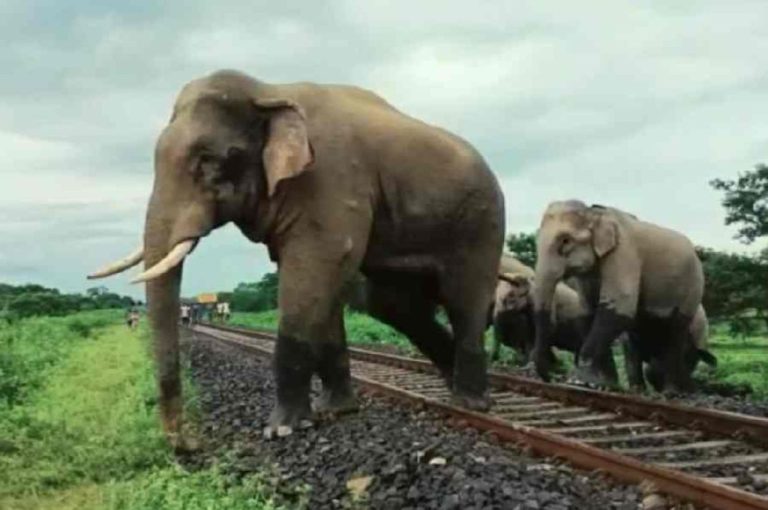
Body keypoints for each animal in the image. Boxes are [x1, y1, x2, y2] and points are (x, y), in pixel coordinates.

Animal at [87, 69, 505, 447]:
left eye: (209, 159)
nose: (188, 445)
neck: (267, 91)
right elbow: (324, 287)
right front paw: (335, 411)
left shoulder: (331, 178)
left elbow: (313, 271)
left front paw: (282, 430)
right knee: (394, 305)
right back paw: (452, 384)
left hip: (481, 221)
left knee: (462, 299)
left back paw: (470, 404)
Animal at [532, 200, 704, 392]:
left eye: (565, 240)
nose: (549, 378)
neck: (594, 214)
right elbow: (588, 312)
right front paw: (604, 384)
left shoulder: (624, 253)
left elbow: (619, 310)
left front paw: (578, 381)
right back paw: (642, 390)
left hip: (692, 287)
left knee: (676, 330)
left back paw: (671, 392)